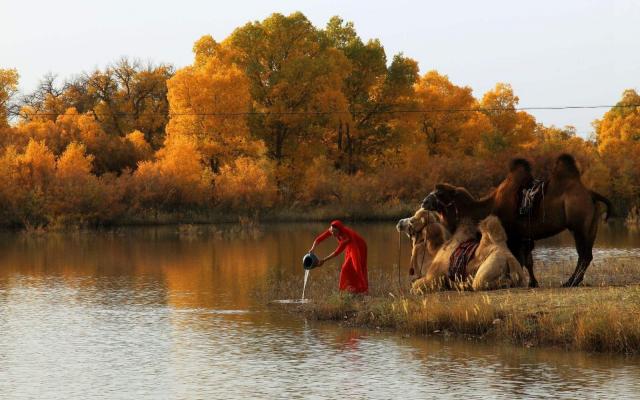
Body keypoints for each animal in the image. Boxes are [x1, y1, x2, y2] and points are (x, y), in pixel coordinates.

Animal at [422, 153, 612, 288]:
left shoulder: (514, 236)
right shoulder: (524, 237)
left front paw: (525, 282)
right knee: (586, 255)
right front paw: (533, 283)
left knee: (584, 255)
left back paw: (570, 282)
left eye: (439, 193)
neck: (487, 206)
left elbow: (520, 259)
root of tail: (591, 194)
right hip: (591, 226)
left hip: (579, 226)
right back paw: (572, 281)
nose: (424, 202)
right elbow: (528, 261)